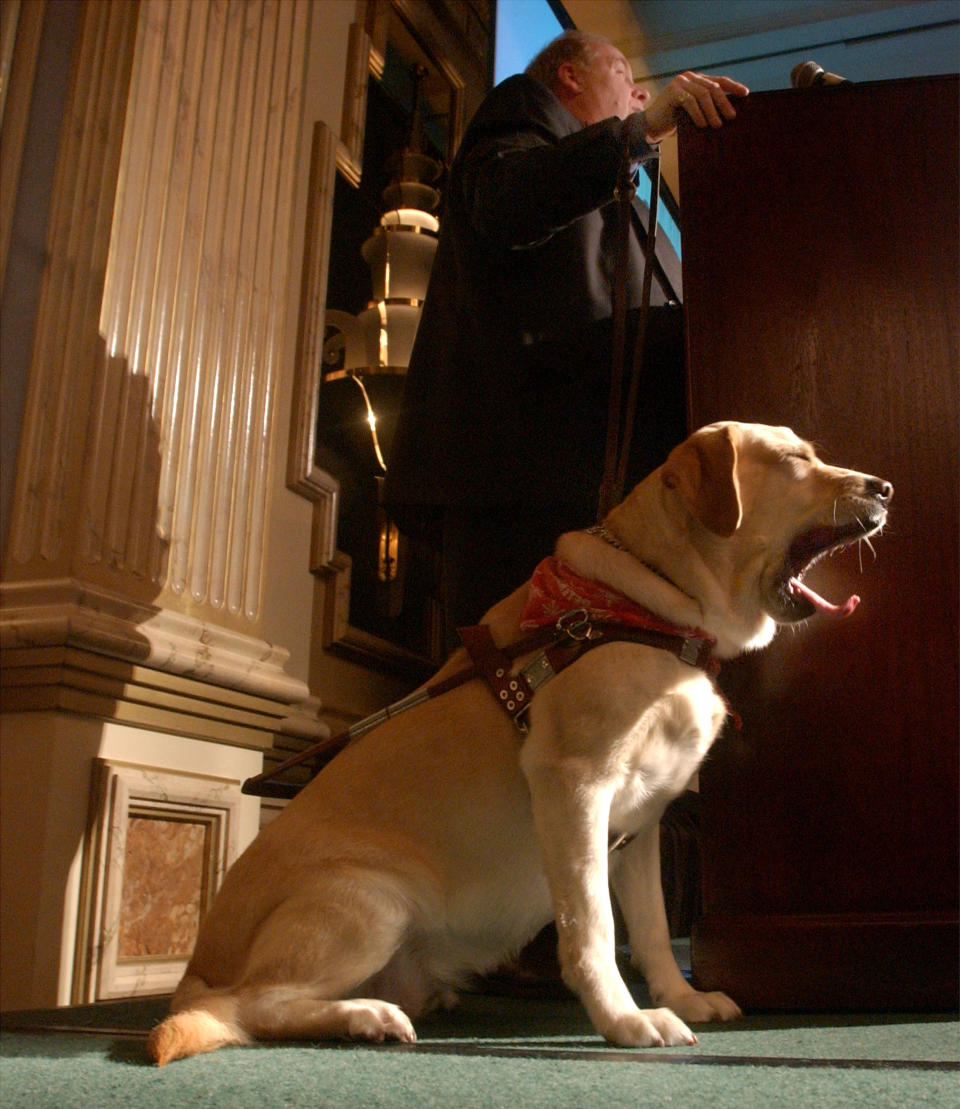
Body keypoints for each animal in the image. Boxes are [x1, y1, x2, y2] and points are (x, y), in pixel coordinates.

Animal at [149, 419, 891, 1060]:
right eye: (795, 459)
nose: (884, 486)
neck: (657, 610)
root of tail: (197, 963)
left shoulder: (643, 823)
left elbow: (652, 929)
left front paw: (681, 998)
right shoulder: (575, 786)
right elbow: (594, 929)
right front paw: (625, 1020)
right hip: (367, 900)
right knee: (247, 1007)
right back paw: (366, 1017)